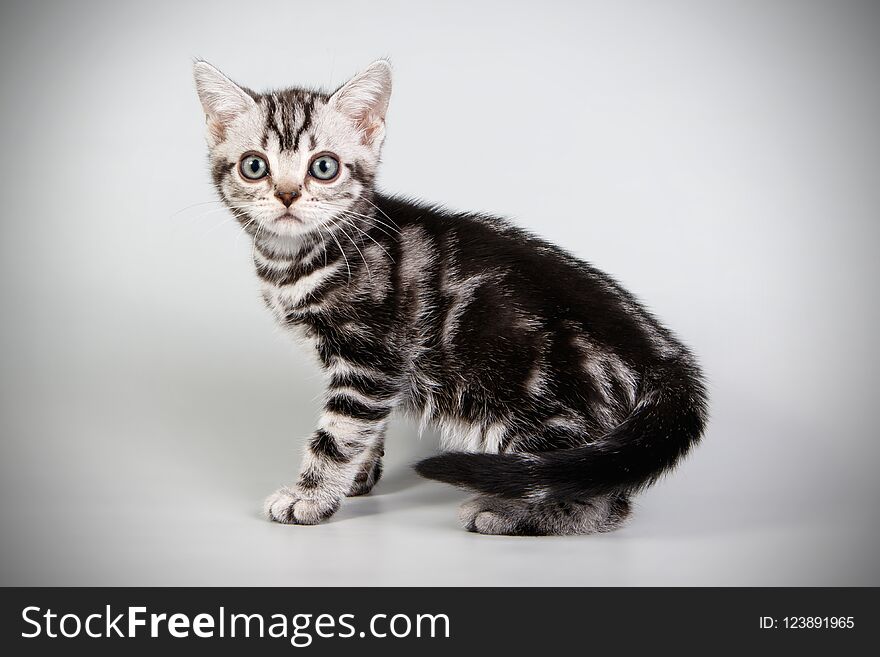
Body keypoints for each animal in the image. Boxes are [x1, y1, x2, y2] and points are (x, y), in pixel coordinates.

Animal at [192, 59, 708, 536]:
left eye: (323, 167)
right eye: (254, 166)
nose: (286, 195)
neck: (299, 259)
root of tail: (664, 355)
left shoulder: (370, 360)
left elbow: (338, 434)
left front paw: (310, 496)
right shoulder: (379, 373)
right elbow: (366, 428)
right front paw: (357, 478)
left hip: (533, 403)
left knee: (594, 496)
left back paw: (508, 512)